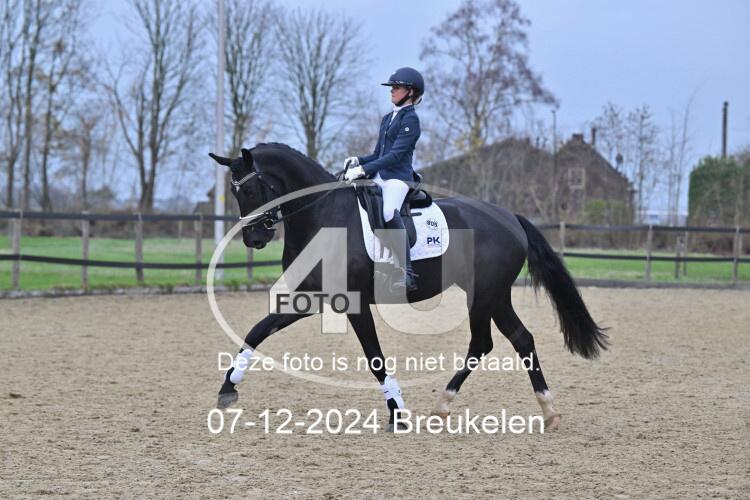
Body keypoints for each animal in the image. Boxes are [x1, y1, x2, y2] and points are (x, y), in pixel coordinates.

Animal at [209, 143, 607, 432]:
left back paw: (448, 405)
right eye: (235, 192)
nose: (254, 239)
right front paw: (228, 387)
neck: (322, 216)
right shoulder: (312, 297)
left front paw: (397, 412)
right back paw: (543, 411)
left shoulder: (354, 303)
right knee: (518, 339)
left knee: (485, 342)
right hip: (494, 297)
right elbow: (257, 330)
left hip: (484, 295)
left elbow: (375, 358)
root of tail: (509, 217)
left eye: (254, 188)